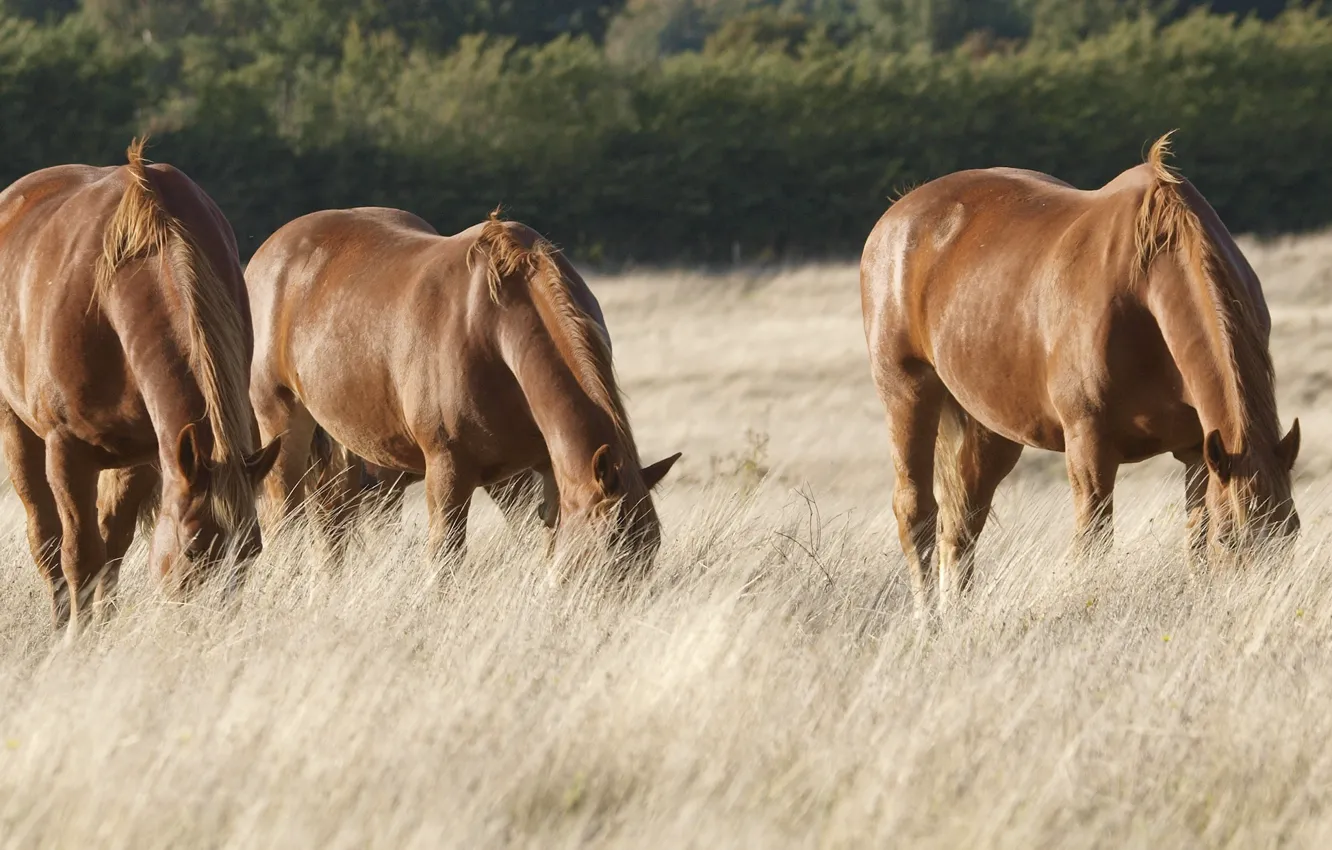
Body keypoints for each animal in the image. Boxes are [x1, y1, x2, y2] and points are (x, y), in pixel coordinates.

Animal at [0, 139, 281, 634]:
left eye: (252, 551)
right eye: (193, 549)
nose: (210, 630)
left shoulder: (151, 453)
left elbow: (111, 548)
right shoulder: (67, 450)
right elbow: (80, 556)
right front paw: (78, 639)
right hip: (17, 429)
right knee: (46, 539)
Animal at [246, 209, 681, 575]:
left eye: (651, 548)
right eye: (609, 548)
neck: (496, 327)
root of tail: (269, 251)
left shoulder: (544, 471)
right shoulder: (447, 470)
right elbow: (444, 562)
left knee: (332, 519)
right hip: (283, 428)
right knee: (286, 518)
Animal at [863, 131, 1300, 612]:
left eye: (1291, 533)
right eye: (1230, 539)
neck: (1145, 287)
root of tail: (898, 214)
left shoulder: (1197, 452)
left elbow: (1194, 547)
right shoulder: (1090, 448)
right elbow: (1094, 546)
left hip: (988, 426)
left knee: (961, 524)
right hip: (907, 393)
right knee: (917, 514)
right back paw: (928, 621)